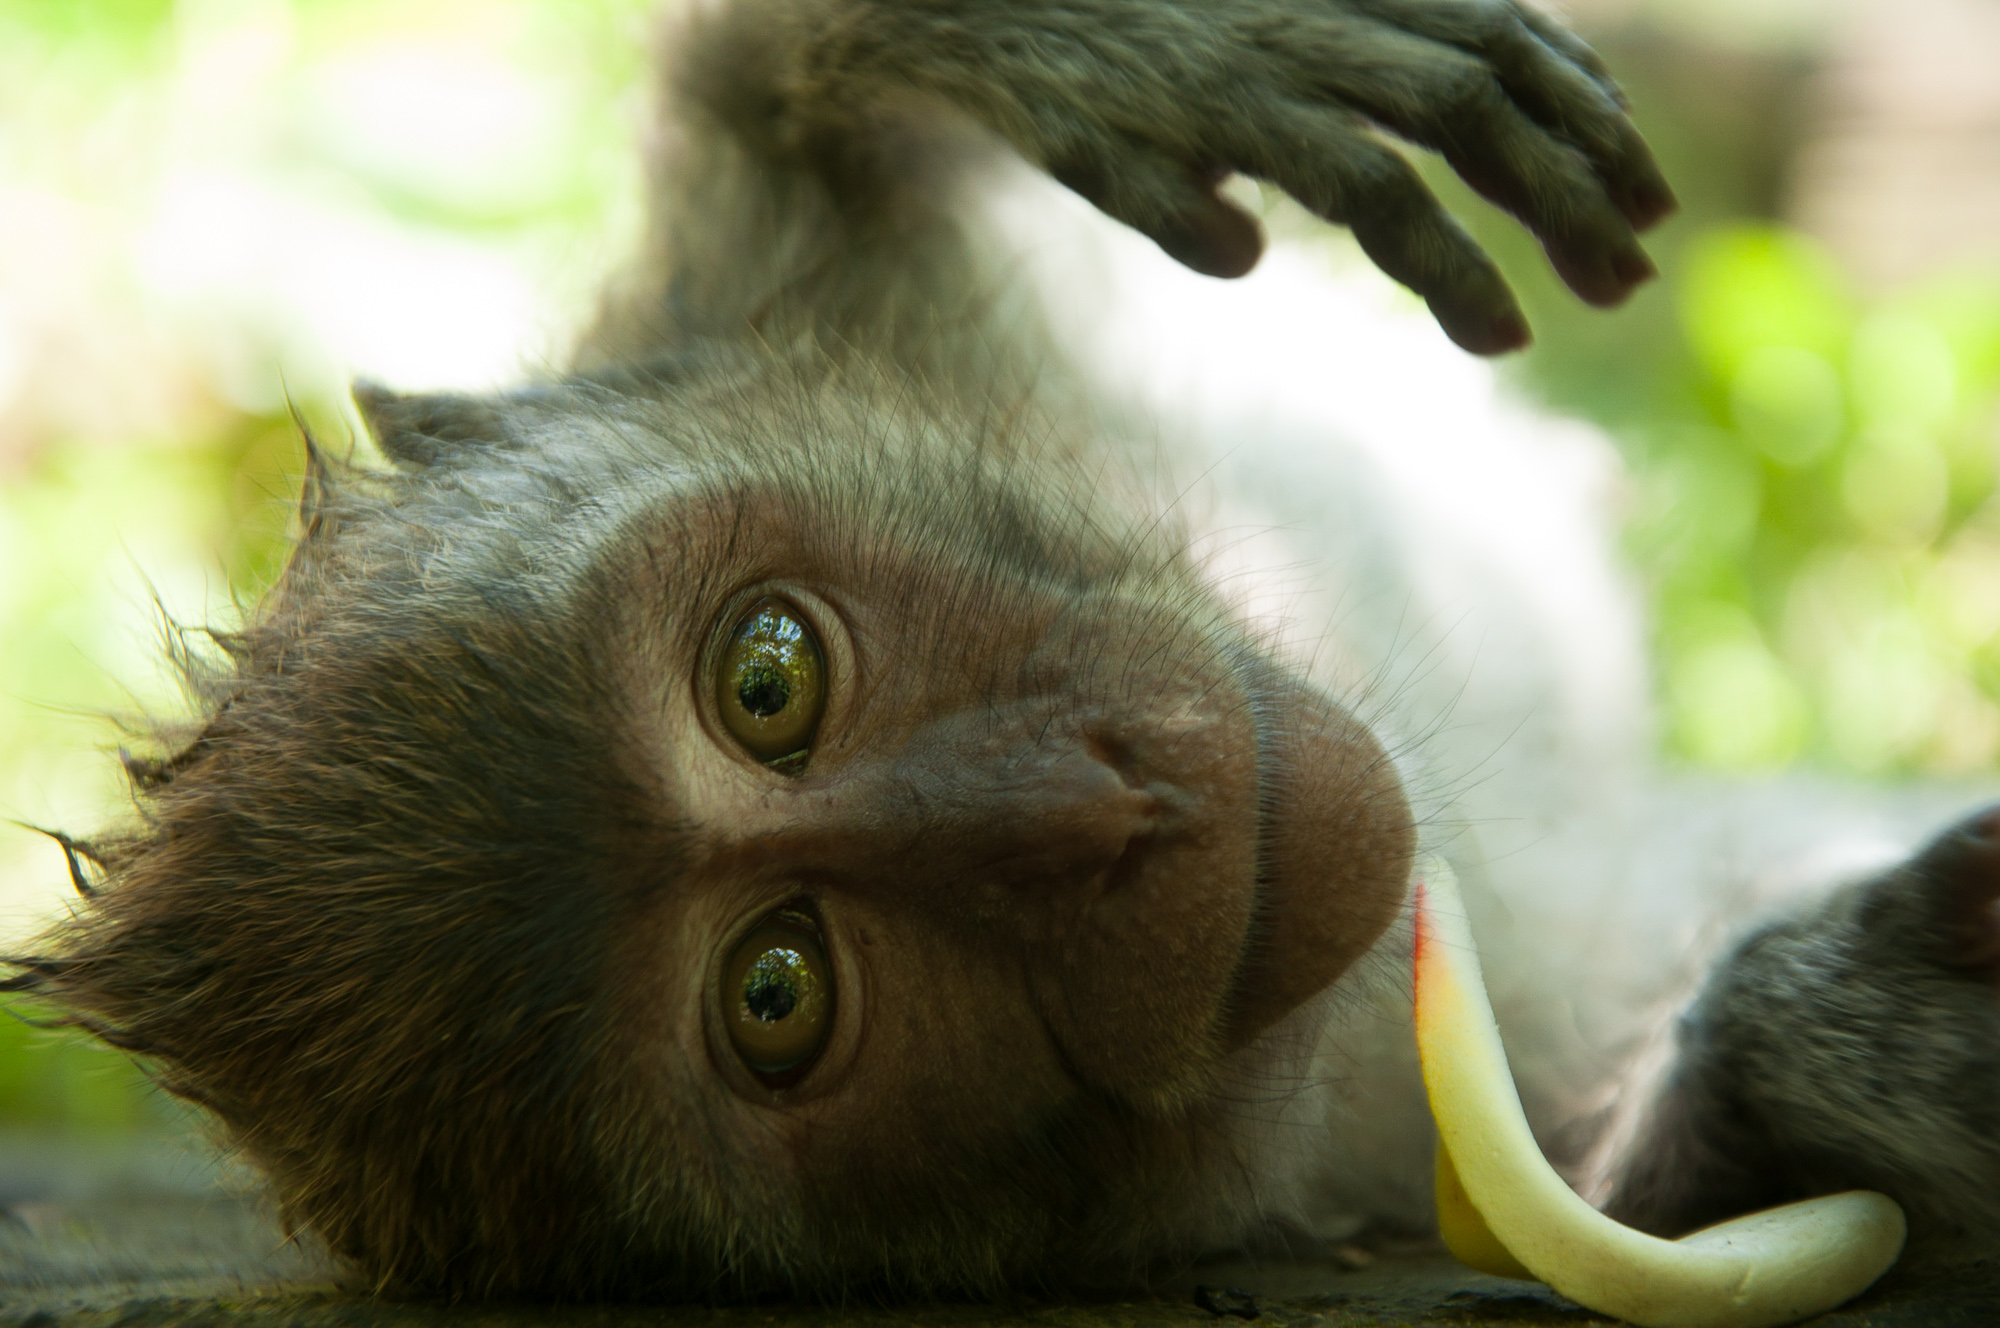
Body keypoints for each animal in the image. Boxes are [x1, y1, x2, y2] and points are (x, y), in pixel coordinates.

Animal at [15, 0, 2000, 1304]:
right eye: (779, 992)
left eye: (767, 678)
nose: (1106, 807)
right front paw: (1805, 1051)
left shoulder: (790, 284)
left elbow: (754, 109)